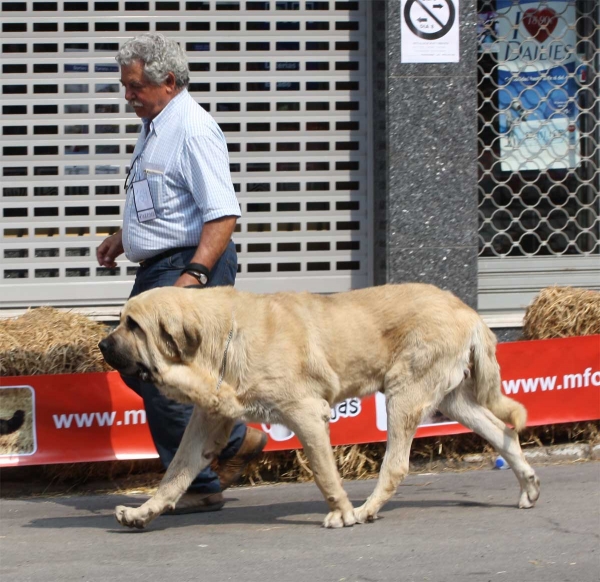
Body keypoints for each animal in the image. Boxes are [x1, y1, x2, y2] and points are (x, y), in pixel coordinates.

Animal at [97, 286, 540, 532]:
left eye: (133, 326)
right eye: (121, 320)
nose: (101, 344)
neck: (221, 338)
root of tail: (470, 312)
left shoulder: (307, 413)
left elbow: (325, 473)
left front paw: (341, 513)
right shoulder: (208, 423)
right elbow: (174, 475)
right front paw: (142, 513)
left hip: (404, 394)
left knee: (396, 466)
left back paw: (365, 510)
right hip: (454, 400)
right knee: (503, 432)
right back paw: (528, 486)